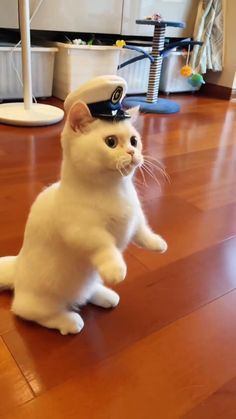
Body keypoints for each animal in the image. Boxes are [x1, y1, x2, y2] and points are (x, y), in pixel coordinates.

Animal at [0, 100, 167, 336]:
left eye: (134, 140)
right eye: (111, 142)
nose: (133, 151)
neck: (115, 190)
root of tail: (16, 267)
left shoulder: (135, 217)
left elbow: (142, 230)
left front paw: (157, 243)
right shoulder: (83, 231)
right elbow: (104, 245)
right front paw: (116, 268)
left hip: (88, 281)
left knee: (86, 294)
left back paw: (105, 295)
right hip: (41, 302)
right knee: (32, 313)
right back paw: (69, 321)